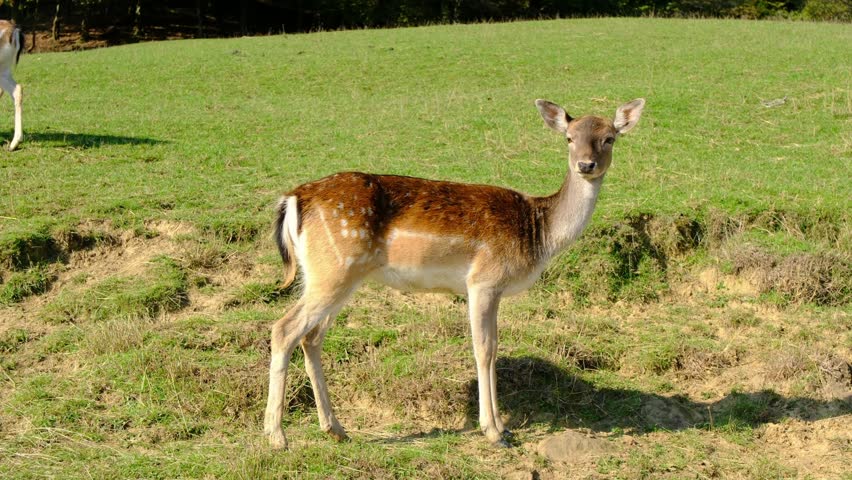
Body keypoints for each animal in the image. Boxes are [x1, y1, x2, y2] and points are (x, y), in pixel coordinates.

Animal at [264, 98, 645, 449]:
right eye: (569, 137)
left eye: (609, 138)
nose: (586, 164)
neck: (538, 232)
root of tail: (293, 199)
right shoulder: (483, 281)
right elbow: (484, 349)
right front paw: (494, 431)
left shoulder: (493, 289)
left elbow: (494, 346)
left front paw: (503, 427)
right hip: (334, 269)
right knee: (284, 329)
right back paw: (277, 436)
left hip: (334, 276)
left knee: (311, 337)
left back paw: (336, 429)